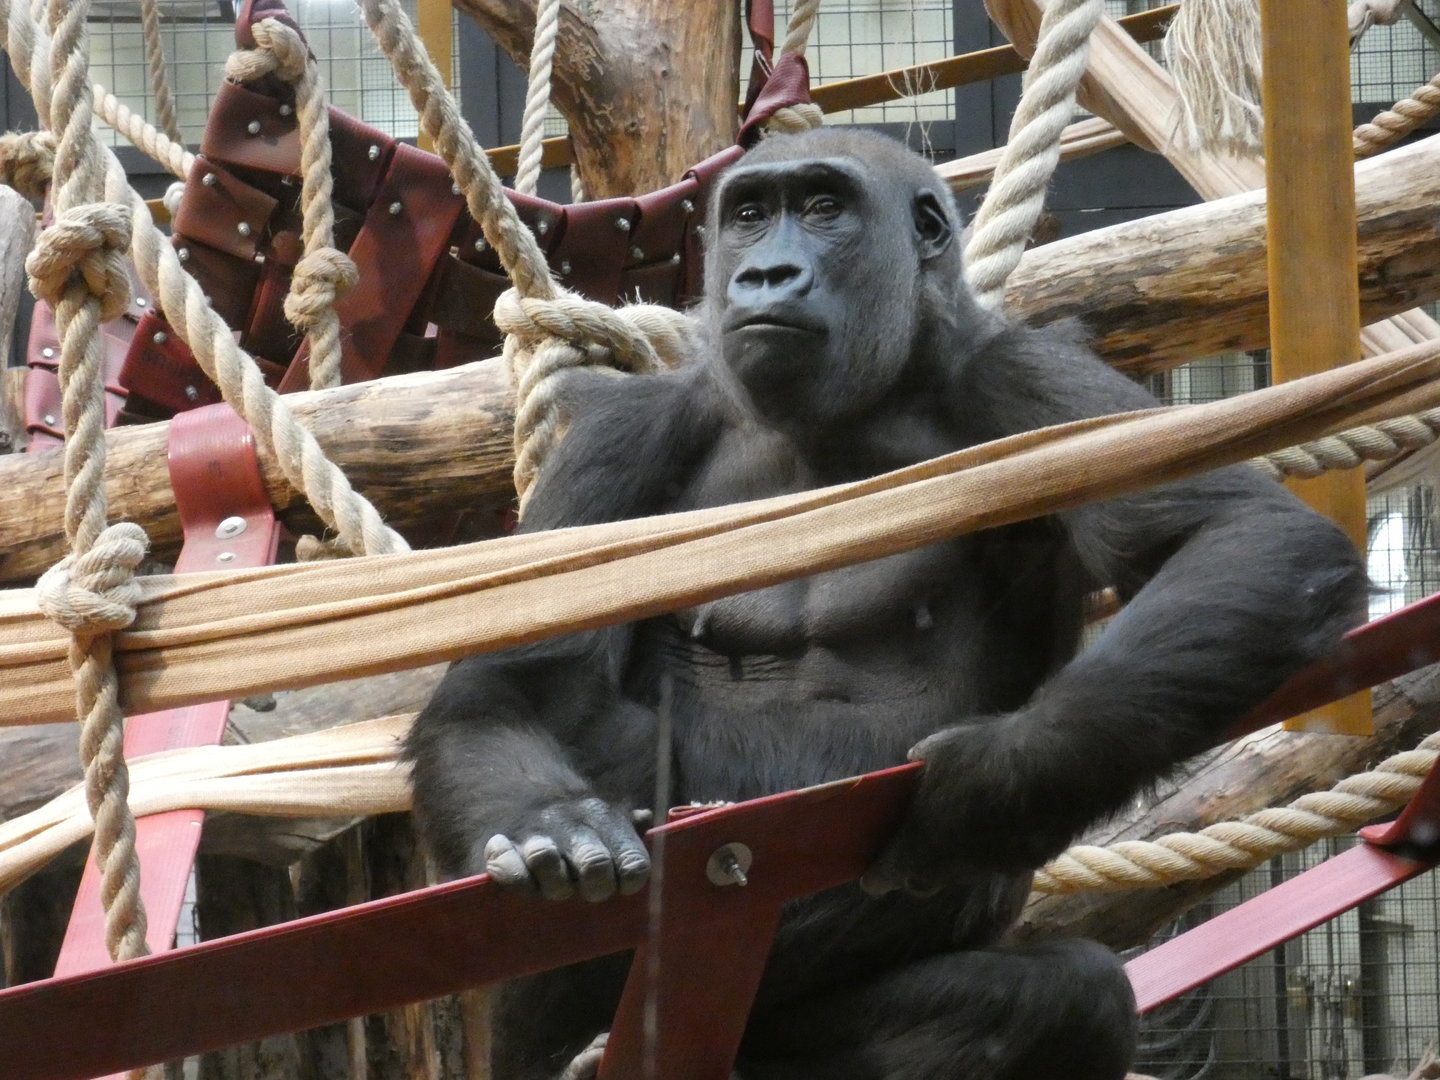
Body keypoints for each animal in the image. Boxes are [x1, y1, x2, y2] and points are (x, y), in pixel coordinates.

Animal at [407, 127, 1368, 1080]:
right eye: (748, 215)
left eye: (823, 208)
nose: (766, 274)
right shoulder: (628, 433)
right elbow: (517, 687)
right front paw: (549, 824)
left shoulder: (1030, 374)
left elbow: (1238, 534)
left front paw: (989, 779)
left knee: (1073, 998)